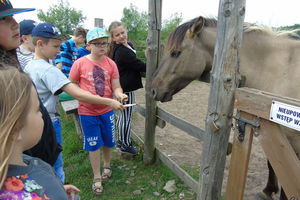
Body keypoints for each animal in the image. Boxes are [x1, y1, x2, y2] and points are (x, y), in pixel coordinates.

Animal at [151, 16, 300, 200]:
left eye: (176, 53)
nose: (152, 90)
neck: (278, 70)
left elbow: (288, 181)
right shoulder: (274, 132)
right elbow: (272, 164)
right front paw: (268, 190)